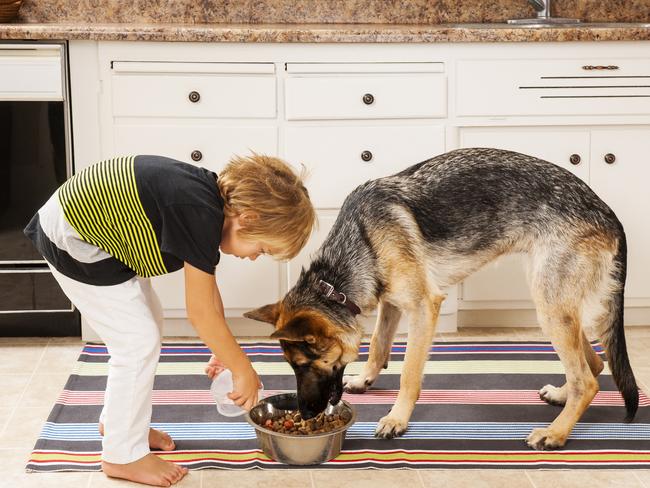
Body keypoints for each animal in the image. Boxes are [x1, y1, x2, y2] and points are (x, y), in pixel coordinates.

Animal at [244, 148, 636, 450]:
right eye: (293, 367)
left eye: (305, 365)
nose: (307, 414)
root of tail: (608, 212)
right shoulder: (391, 302)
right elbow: (378, 346)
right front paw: (366, 379)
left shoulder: (423, 307)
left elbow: (409, 373)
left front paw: (397, 418)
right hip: (556, 305)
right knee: (594, 364)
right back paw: (560, 396)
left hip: (549, 306)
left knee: (587, 380)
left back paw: (556, 433)